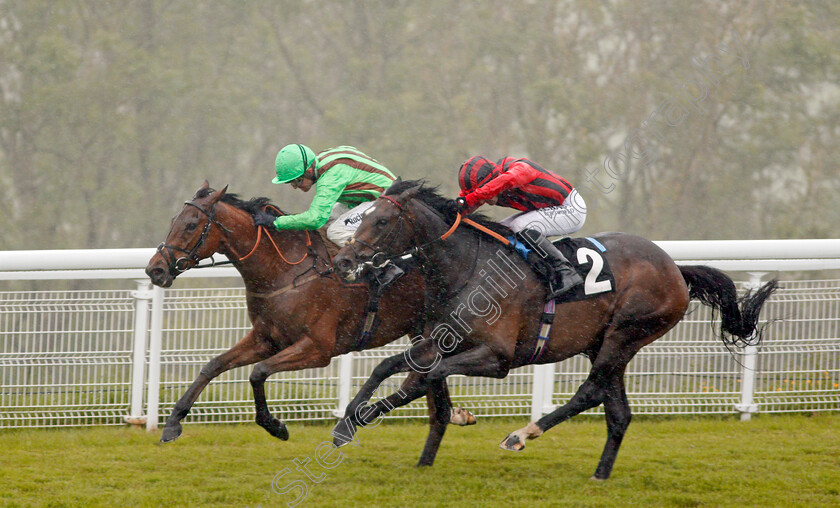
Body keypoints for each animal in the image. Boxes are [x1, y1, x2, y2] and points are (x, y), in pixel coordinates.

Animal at [144, 183, 472, 444]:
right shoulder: (266, 338)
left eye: (191, 225)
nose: (155, 269)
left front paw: (275, 426)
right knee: (434, 392)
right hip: (424, 332)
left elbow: (258, 372)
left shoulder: (317, 348)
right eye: (174, 220)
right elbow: (213, 366)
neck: (283, 272)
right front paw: (172, 422)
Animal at [332, 180, 776, 480]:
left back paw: (521, 435)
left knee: (590, 391)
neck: (469, 268)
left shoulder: (497, 358)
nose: (344, 260)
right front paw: (345, 423)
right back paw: (600, 474)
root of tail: (675, 269)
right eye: (362, 216)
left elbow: (424, 377)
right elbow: (387, 366)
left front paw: (367, 416)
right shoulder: (439, 340)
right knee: (618, 412)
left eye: (381, 220)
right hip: (605, 343)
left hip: (625, 334)